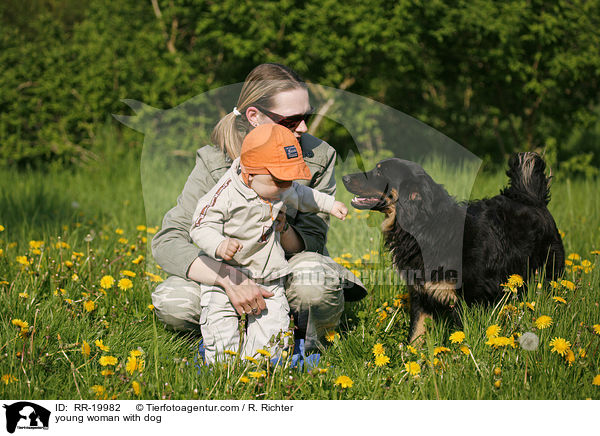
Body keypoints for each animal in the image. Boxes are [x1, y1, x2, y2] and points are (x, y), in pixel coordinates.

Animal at [344, 152, 564, 342]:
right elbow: (415, 336)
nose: (345, 177)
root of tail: (531, 198)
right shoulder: (420, 295)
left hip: (548, 274)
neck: (426, 227)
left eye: (379, 172)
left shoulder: (467, 301)